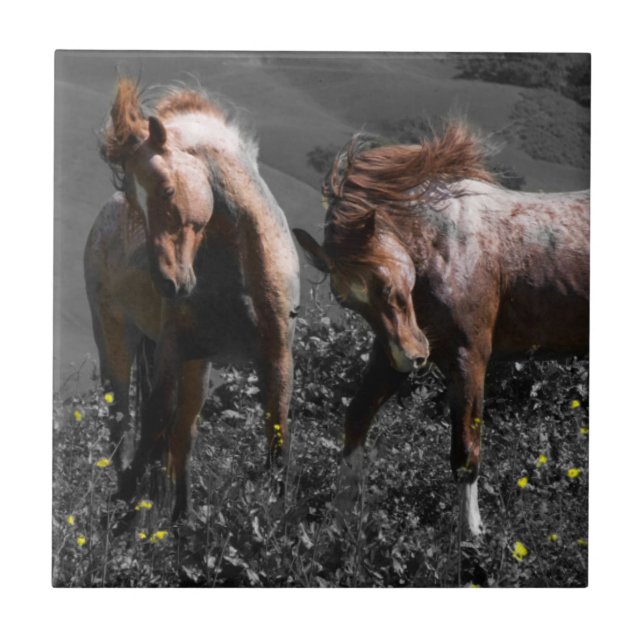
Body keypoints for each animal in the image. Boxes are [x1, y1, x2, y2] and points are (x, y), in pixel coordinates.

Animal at [84, 78, 300, 522]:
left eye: (167, 189)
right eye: (134, 202)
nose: (169, 284)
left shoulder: (277, 358)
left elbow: (277, 442)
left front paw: (277, 519)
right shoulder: (171, 350)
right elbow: (152, 424)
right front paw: (128, 510)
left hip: (197, 366)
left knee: (183, 434)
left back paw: (181, 520)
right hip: (117, 342)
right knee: (122, 427)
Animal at [293, 123, 589, 536]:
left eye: (385, 283)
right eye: (347, 301)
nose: (414, 357)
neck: (447, 248)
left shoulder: (470, 360)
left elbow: (465, 451)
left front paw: (471, 535)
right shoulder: (388, 356)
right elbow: (356, 421)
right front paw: (339, 522)